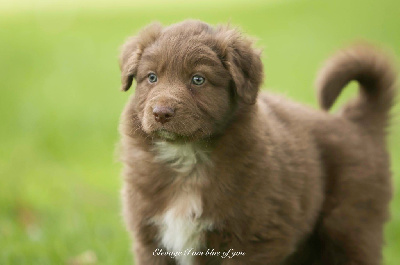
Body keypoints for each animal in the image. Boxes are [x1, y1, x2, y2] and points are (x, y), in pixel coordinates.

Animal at [117, 19, 396, 264]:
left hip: (351, 225)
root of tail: (356, 121)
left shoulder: (253, 239)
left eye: (198, 79)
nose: (161, 113)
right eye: (152, 77)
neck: (186, 158)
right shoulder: (149, 241)